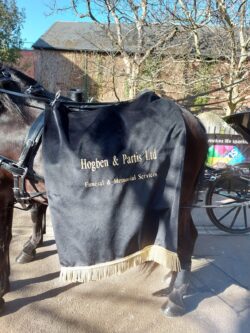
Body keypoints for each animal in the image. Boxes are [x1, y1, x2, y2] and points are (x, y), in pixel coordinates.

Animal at [0, 66, 207, 316]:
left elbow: (3, 240)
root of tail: (192, 119)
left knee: (187, 237)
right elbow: (25, 221)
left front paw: (2, 292)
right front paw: (29, 249)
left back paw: (176, 297)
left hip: (179, 199)